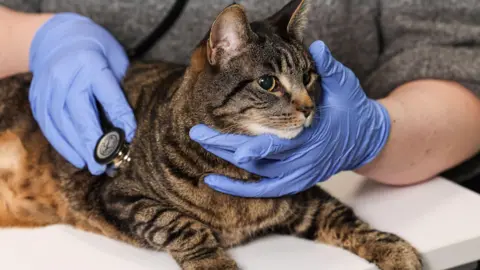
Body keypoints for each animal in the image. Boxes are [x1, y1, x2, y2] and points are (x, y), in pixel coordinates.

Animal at [0, 1, 422, 268]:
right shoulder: (118, 194)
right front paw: (215, 264)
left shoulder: (304, 196)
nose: (308, 108)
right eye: (268, 83)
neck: (237, 173)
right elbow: (182, 226)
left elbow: (346, 218)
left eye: (308, 77)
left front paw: (393, 249)